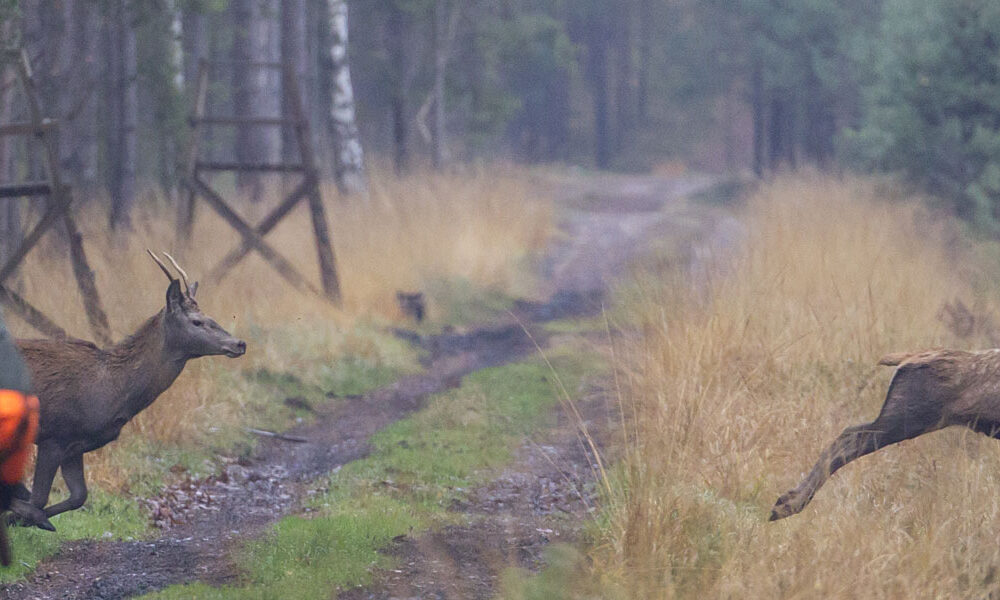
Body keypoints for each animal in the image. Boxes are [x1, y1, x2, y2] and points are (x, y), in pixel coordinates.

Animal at [6, 252, 245, 528]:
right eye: (197, 321)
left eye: (212, 318)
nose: (240, 343)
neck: (112, 389)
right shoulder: (54, 435)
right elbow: (38, 500)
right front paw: (21, 518)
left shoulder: (74, 445)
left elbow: (78, 496)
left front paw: (20, 520)